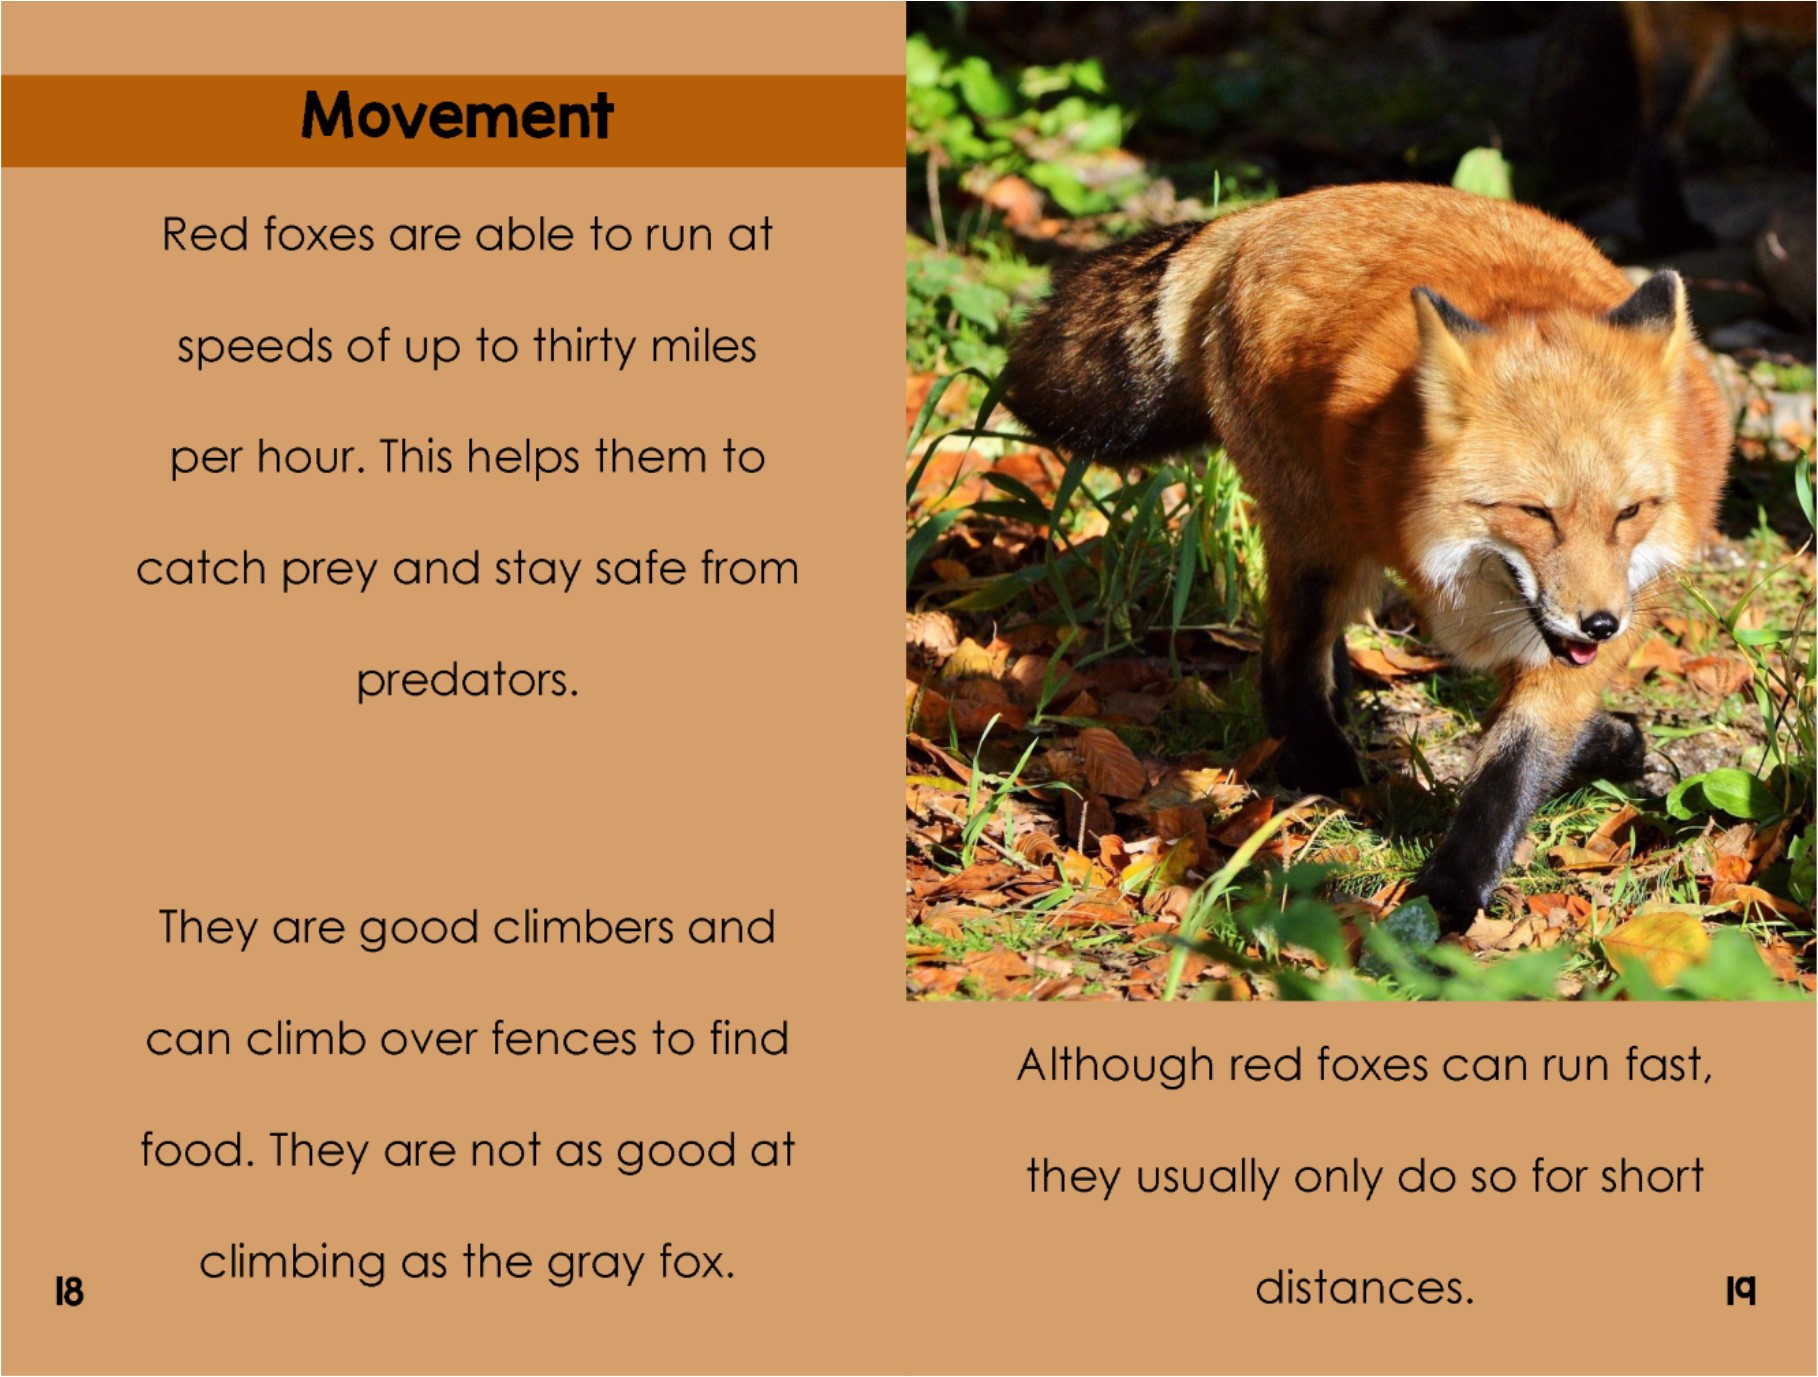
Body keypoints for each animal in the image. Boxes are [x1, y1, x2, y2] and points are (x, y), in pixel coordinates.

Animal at [1002, 182, 1731, 930]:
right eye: (1535, 513)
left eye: (1630, 513)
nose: (1600, 623)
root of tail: (1265, 213)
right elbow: (1504, 775)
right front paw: (1443, 905)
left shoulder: (1602, 625)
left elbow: (1516, 763)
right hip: (1323, 543)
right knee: (1284, 664)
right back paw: (1328, 768)